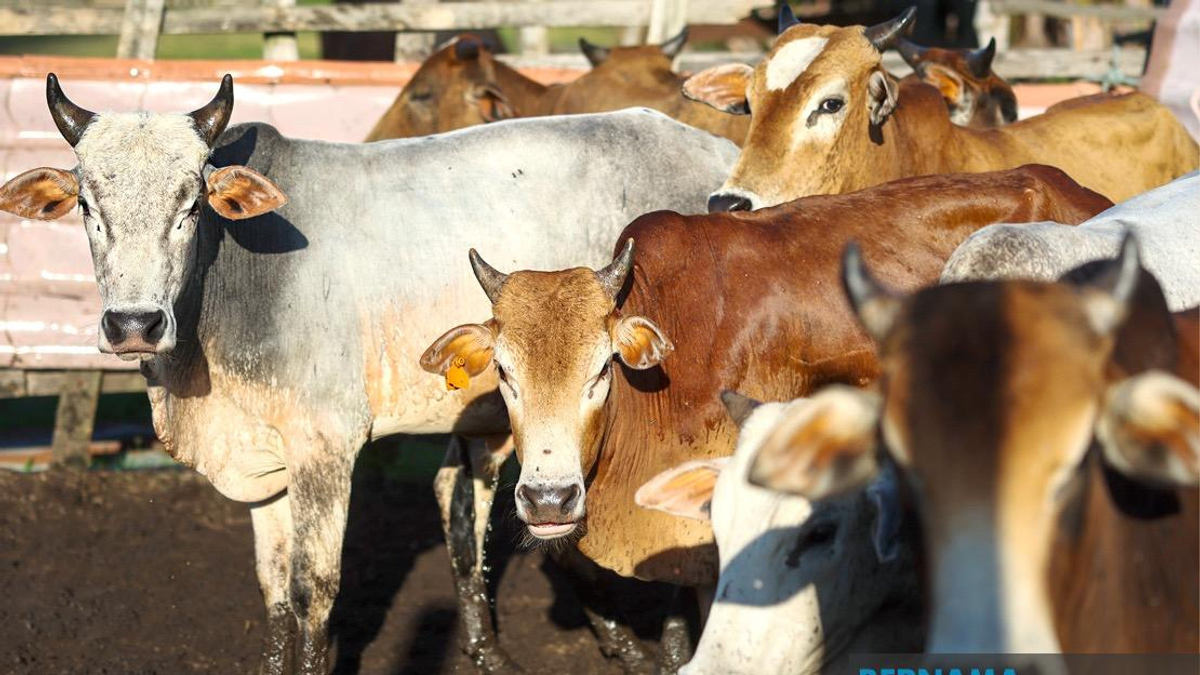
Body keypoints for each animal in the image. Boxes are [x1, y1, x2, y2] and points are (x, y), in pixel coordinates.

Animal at [0, 75, 740, 675]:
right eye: (88, 207)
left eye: (190, 206)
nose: (134, 323)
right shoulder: (266, 454)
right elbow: (274, 590)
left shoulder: (325, 446)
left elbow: (313, 591)